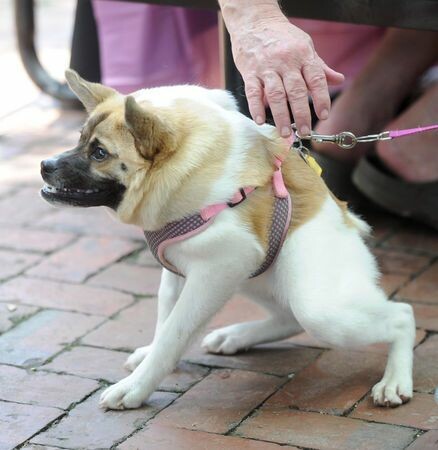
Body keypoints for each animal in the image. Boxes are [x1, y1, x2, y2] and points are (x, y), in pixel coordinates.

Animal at [39, 68, 416, 410]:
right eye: (80, 138)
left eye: (100, 153)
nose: (44, 165)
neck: (181, 167)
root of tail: (350, 223)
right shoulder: (181, 268)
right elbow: (165, 319)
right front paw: (148, 360)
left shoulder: (218, 268)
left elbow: (175, 332)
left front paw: (135, 387)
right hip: (254, 276)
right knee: (289, 317)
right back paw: (235, 336)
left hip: (318, 307)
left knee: (400, 315)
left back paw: (395, 380)